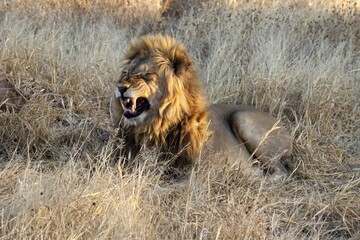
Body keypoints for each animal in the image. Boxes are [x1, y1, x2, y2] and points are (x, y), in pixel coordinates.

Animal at [111, 34, 294, 179]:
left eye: (147, 74)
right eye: (126, 73)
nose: (120, 87)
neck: (154, 125)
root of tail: (285, 129)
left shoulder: (193, 175)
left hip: (243, 119)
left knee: (281, 172)